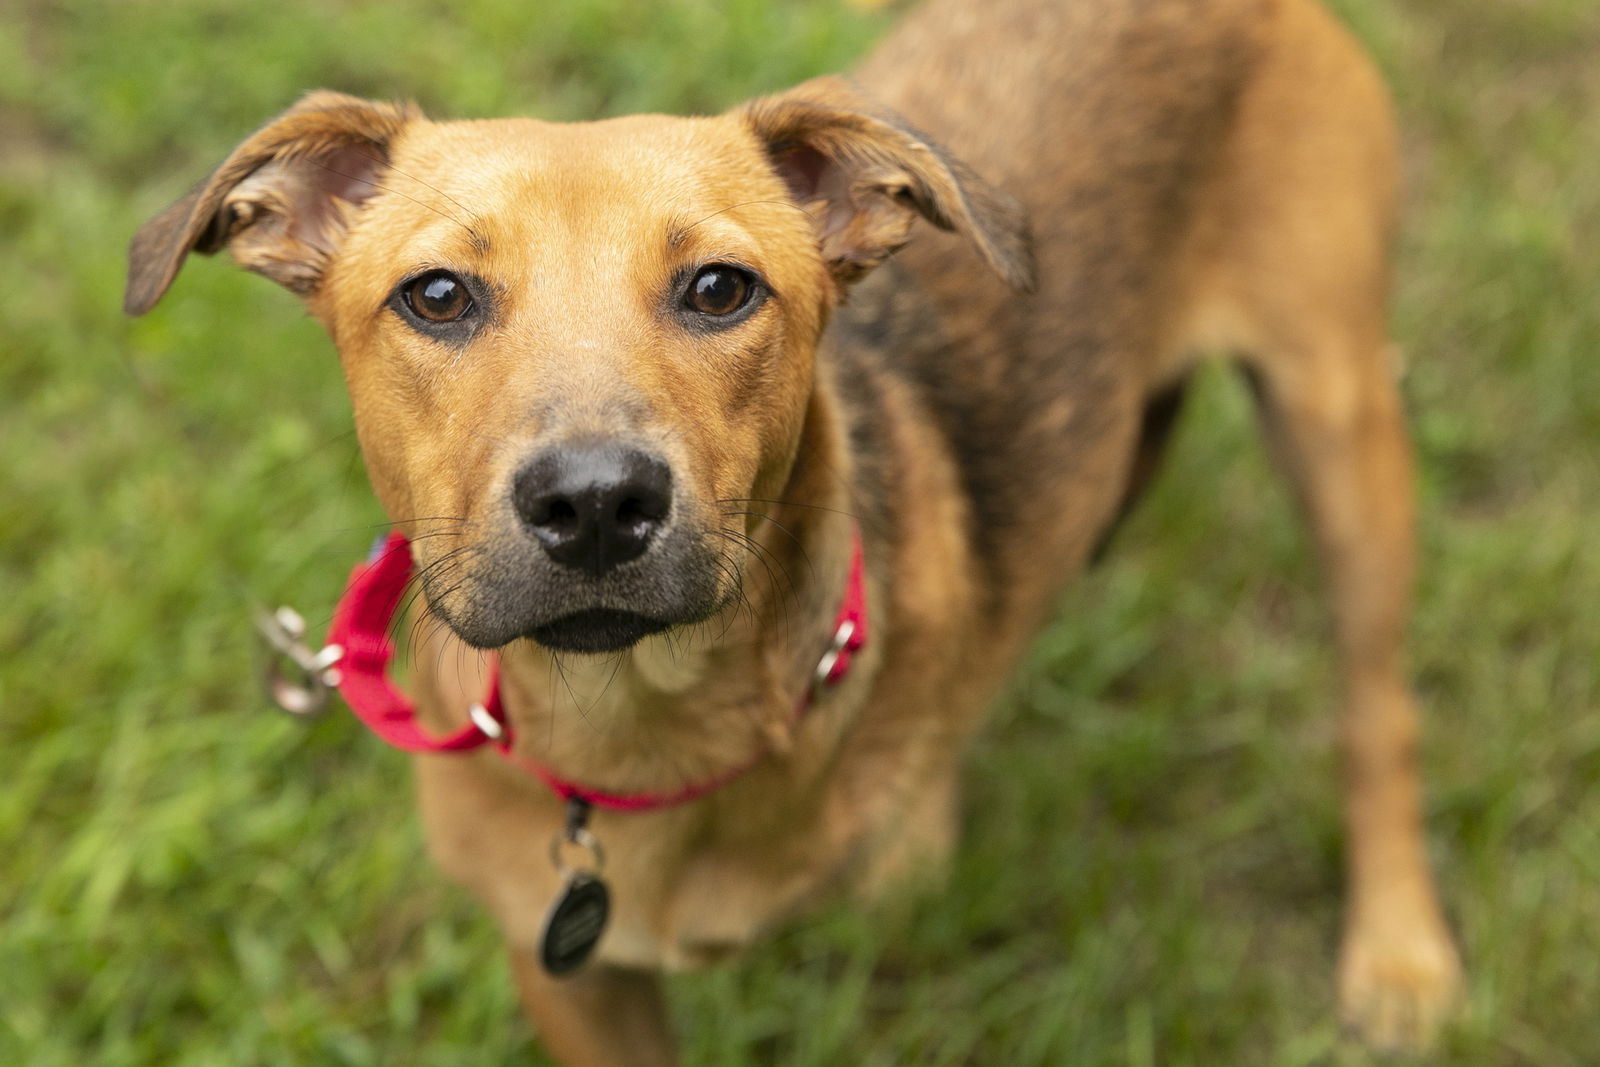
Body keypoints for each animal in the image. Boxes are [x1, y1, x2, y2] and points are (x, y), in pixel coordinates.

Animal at [124, 0, 1465, 1055]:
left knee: (1380, 709)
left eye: (720, 288)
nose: (596, 501)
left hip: (1339, 419)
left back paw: (1398, 953)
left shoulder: (913, 965)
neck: (641, 737)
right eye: (437, 295)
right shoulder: (572, 978)